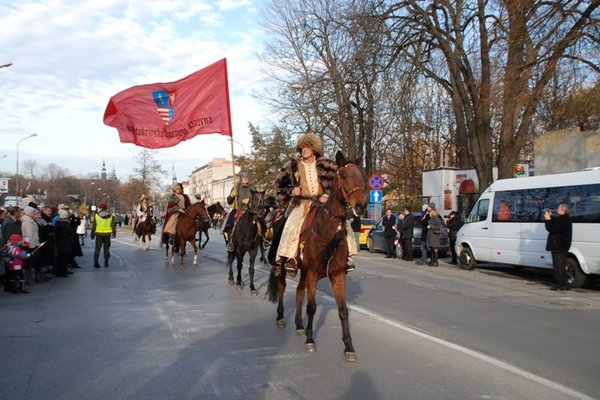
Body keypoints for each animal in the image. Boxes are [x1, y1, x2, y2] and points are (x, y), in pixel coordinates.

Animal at [266, 151, 366, 362]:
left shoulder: (338, 275)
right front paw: (311, 340)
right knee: (282, 288)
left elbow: (343, 310)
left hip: (303, 272)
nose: (361, 206)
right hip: (284, 268)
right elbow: (311, 306)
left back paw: (299, 325)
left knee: (298, 292)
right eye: (344, 176)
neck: (328, 230)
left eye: (361, 176)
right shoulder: (312, 273)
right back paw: (281, 318)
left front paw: (348, 347)